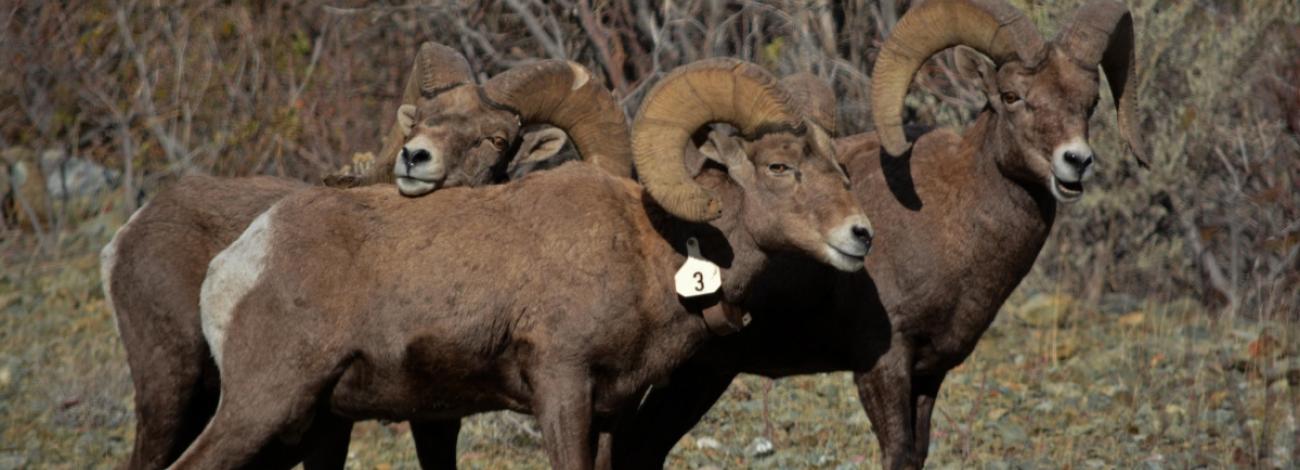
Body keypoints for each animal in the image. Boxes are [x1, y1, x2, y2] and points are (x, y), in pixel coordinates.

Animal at [101, 41, 632, 470]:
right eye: (419, 122)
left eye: (496, 139)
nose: (414, 158)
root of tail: (128, 234)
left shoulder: (434, 415)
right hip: (178, 393)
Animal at [169, 58, 873, 470]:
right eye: (780, 166)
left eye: (840, 168)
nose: (859, 234)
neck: (657, 250)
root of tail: (236, 263)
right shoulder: (562, 389)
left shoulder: (611, 410)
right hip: (261, 409)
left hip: (306, 421)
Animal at [610, 1, 1147, 469]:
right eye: (1012, 96)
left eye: (1090, 102)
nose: (1076, 162)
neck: (953, 218)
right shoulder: (883, 366)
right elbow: (898, 452)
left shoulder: (929, 373)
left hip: (700, 378)